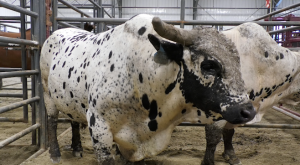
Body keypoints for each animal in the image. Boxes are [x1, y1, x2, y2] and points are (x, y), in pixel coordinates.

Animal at [40, 14, 255, 164]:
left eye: (238, 61)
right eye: (209, 65)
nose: (248, 111)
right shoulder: (99, 127)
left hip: (70, 98)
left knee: (73, 120)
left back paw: (77, 147)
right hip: (47, 94)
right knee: (51, 121)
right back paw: (55, 153)